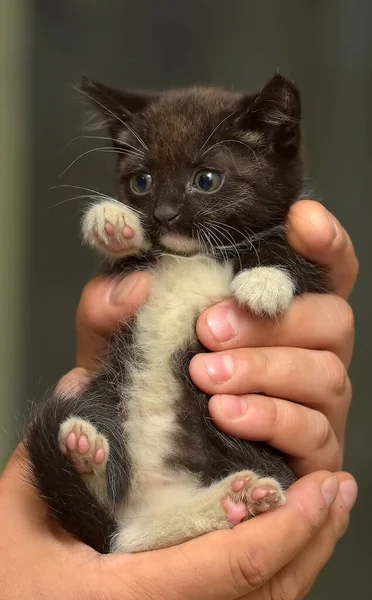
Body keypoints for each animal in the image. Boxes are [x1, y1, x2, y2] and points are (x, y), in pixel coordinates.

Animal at [26, 76, 328, 556]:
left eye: (206, 180)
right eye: (142, 181)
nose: (164, 214)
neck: (195, 255)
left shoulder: (311, 264)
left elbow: (296, 261)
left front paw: (264, 281)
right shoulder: (129, 275)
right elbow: (123, 258)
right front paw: (112, 222)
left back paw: (234, 500)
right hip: (104, 395)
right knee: (120, 537)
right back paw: (85, 453)